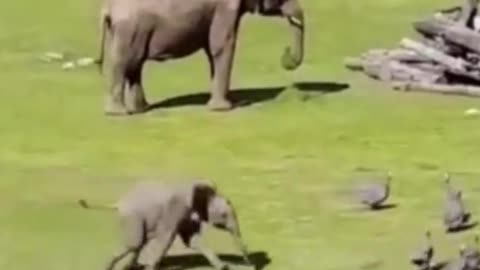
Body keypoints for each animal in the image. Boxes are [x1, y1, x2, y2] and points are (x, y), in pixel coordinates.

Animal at [78, 179, 251, 270]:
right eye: (224, 215)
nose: (249, 263)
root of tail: (118, 203)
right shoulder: (175, 208)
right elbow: (167, 238)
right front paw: (150, 268)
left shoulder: (186, 214)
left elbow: (192, 240)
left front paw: (223, 267)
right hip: (133, 218)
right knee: (135, 244)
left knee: (139, 244)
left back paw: (131, 266)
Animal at [96, 0, 304, 115]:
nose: (285, 55)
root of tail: (108, 8)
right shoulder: (224, 8)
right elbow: (222, 45)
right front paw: (224, 109)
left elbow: (213, 51)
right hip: (130, 29)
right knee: (123, 63)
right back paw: (119, 113)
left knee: (134, 65)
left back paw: (141, 109)